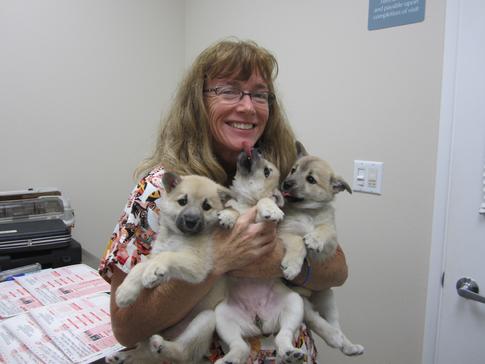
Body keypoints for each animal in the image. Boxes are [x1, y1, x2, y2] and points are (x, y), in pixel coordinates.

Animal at [107, 173, 231, 364]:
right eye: (182, 201)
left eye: (206, 206)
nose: (190, 221)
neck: (177, 236)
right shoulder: (154, 254)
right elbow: (139, 267)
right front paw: (126, 292)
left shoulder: (197, 263)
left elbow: (168, 256)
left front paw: (152, 272)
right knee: (144, 353)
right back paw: (123, 356)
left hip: (207, 318)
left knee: (181, 353)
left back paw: (161, 346)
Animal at [214, 149, 304, 364]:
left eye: (266, 171)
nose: (256, 149)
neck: (246, 202)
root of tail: (259, 322)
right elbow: (231, 208)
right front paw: (228, 216)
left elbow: (265, 200)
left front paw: (271, 209)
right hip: (222, 318)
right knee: (239, 345)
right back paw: (229, 359)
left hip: (294, 304)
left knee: (283, 335)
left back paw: (290, 352)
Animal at [276, 141, 364, 356]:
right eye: (293, 170)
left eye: (311, 179)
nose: (286, 183)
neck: (308, 213)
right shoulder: (285, 232)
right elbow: (298, 242)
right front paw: (292, 266)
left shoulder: (331, 244)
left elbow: (325, 230)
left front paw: (315, 239)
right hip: (302, 301)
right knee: (317, 321)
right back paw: (333, 337)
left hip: (327, 297)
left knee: (334, 323)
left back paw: (348, 345)